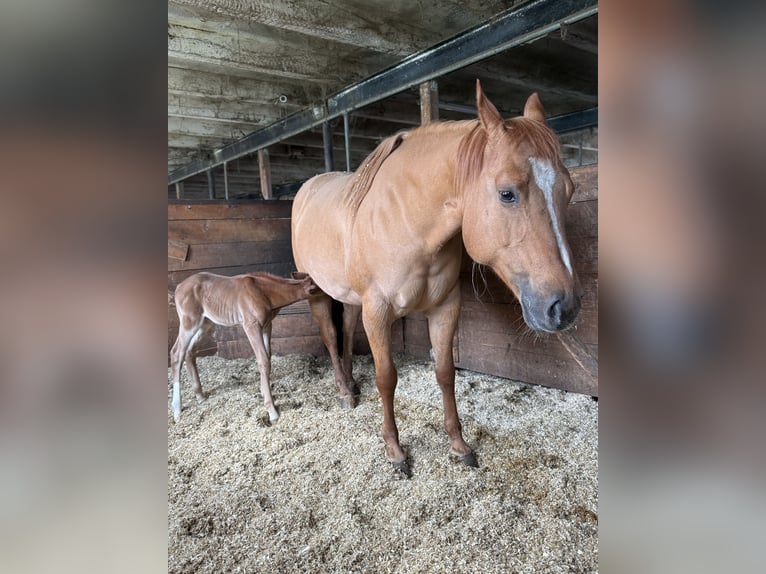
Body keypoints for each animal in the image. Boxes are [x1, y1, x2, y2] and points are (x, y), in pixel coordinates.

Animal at [169, 271, 318, 423]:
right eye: (316, 289)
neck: (263, 292)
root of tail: (178, 287)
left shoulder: (267, 325)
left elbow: (268, 357)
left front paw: (263, 391)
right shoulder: (251, 326)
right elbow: (263, 360)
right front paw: (272, 411)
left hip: (205, 323)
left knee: (189, 352)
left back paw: (200, 396)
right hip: (189, 322)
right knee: (176, 353)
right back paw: (177, 410)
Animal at [291, 80, 581, 475]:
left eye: (569, 190)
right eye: (507, 193)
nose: (563, 308)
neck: (408, 223)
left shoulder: (445, 307)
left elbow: (445, 373)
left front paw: (459, 445)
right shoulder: (378, 311)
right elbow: (386, 377)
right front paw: (395, 450)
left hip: (351, 297)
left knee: (347, 330)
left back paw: (351, 383)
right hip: (317, 291)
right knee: (330, 335)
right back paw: (343, 391)